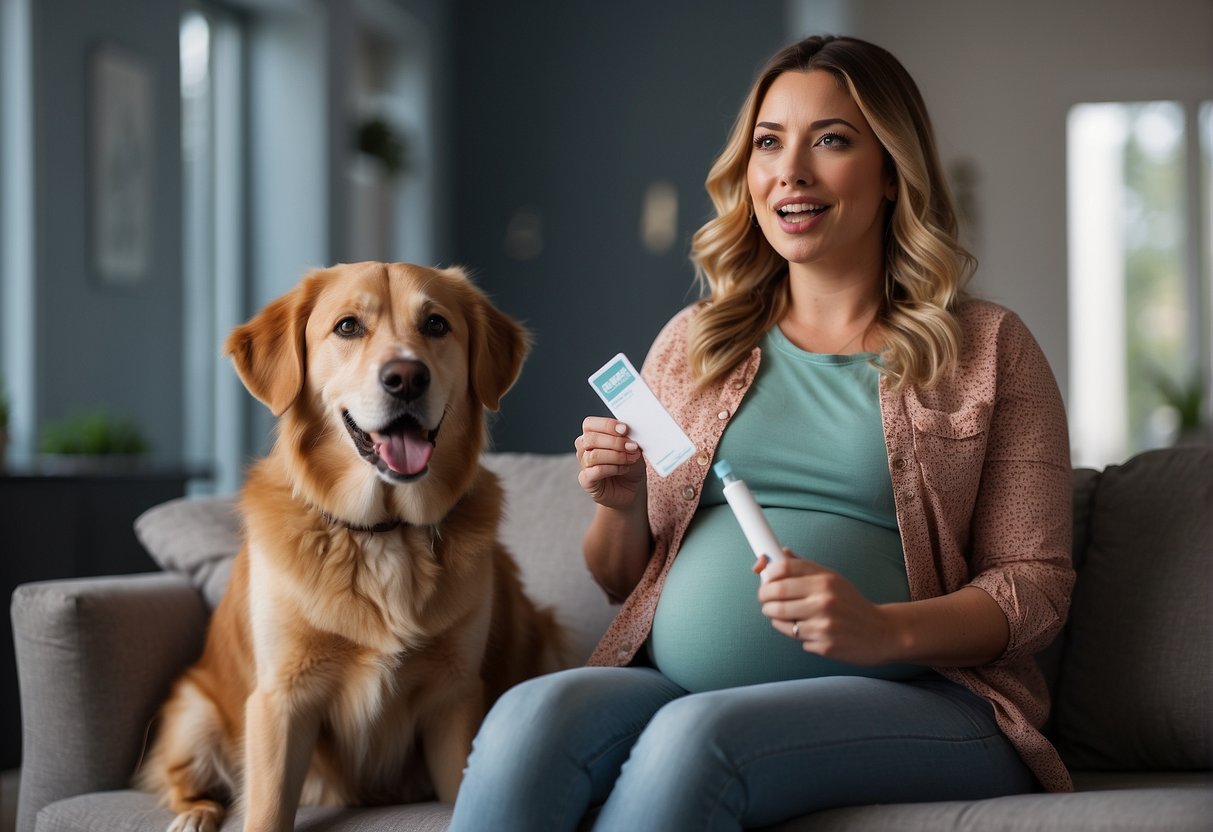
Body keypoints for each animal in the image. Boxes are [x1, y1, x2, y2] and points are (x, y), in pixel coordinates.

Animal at [139, 261, 565, 832]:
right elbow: (266, 811)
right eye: (347, 327)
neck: (381, 532)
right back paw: (196, 814)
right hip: (193, 712)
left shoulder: (454, 697)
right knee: (184, 781)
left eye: (436, 324)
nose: (406, 377)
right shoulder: (281, 700)